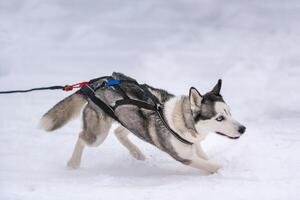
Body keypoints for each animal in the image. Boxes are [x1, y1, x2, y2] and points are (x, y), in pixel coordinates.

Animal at [40, 72, 246, 173]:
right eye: (219, 118)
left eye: (229, 112)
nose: (243, 129)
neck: (182, 121)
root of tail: (97, 83)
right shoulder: (183, 157)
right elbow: (213, 166)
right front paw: (224, 172)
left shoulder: (194, 146)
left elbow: (205, 157)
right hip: (98, 135)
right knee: (83, 137)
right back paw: (73, 163)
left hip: (130, 119)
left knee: (119, 132)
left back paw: (136, 153)